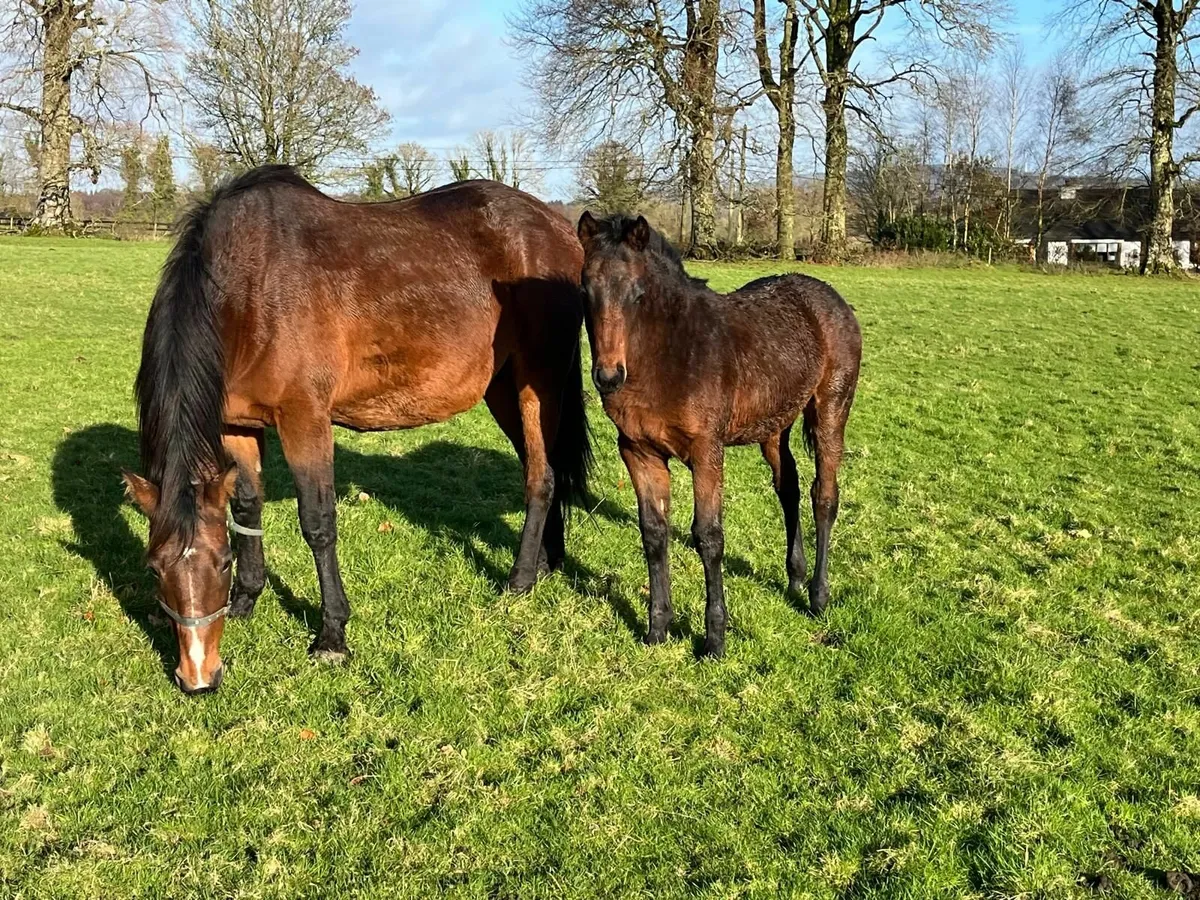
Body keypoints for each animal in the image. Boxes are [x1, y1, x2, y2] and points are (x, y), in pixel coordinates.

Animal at [121, 165, 592, 694]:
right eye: (155, 567)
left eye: (219, 563)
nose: (198, 677)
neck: (249, 289)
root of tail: (557, 227)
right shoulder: (235, 425)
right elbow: (246, 507)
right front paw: (246, 600)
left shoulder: (304, 419)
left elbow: (318, 524)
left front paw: (332, 637)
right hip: (502, 388)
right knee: (546, 467)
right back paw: (547, 564)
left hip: (539, 381)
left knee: (541, 478)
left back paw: (520, 580)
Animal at [576, 212, 861, 658]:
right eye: (584, 290)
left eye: (638, 294)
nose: (607, 376)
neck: (668, 355)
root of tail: (830, 296)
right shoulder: (638, 451)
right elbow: (654, 532)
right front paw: (657, 630)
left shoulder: (706, 451)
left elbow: (708, 536)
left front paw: (714, 640)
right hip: (774, 426)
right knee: (789, 489)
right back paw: (795, 579)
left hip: (831, 409)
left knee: (824, 496)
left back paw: (818, 596)